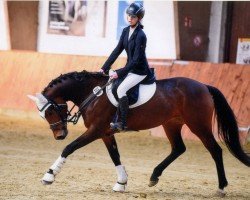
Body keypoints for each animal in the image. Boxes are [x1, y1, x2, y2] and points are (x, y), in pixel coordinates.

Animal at [27, 70, 250, 195]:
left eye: (50, 111)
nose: (59, 135)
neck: (93, 94)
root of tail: (203, 85)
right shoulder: (105, 133)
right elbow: (115, 156)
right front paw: (121, 183)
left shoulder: (96, 130)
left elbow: (69, 148)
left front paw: (49, 175)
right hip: (171, 124)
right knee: (178, 148)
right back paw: (154, 176)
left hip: (199, 126)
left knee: (216, 151)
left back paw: (221, 187)